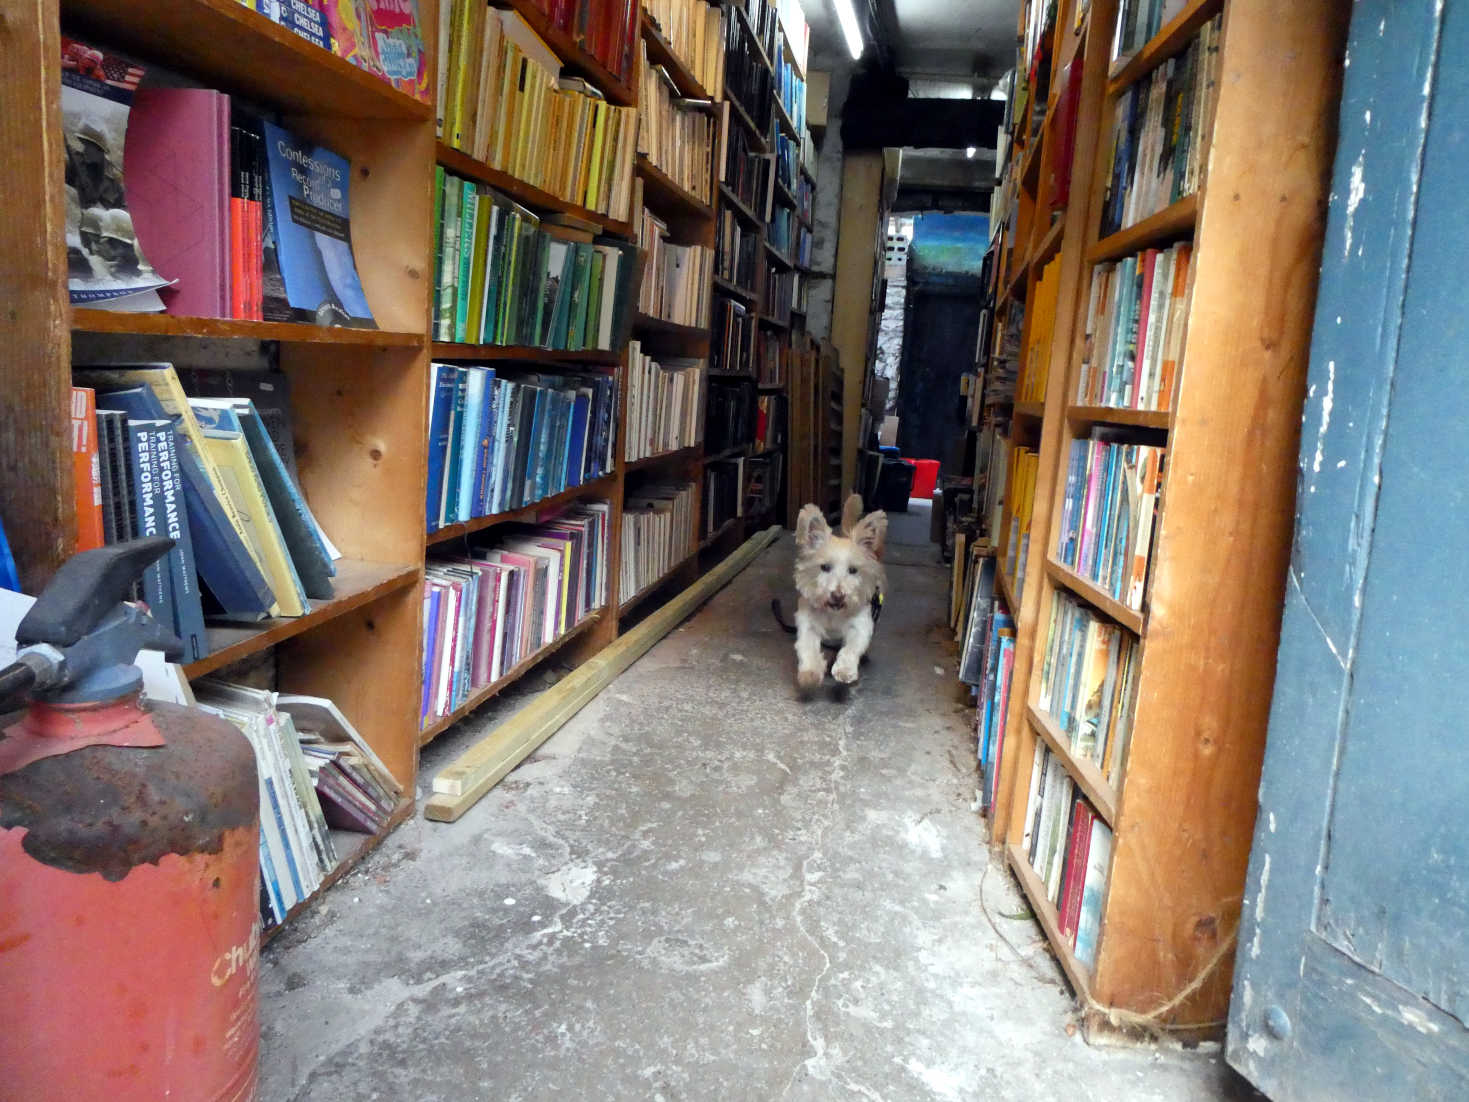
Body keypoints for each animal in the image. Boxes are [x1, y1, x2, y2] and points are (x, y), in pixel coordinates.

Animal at [787, 496, 887, 693]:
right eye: (825, 567)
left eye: (853, 570)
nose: (838, 595)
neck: (833, 613)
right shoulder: (807, 624)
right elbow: (807, 648)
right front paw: (810, 673)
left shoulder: (861, 625)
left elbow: (851, 648)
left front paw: (845, 670)